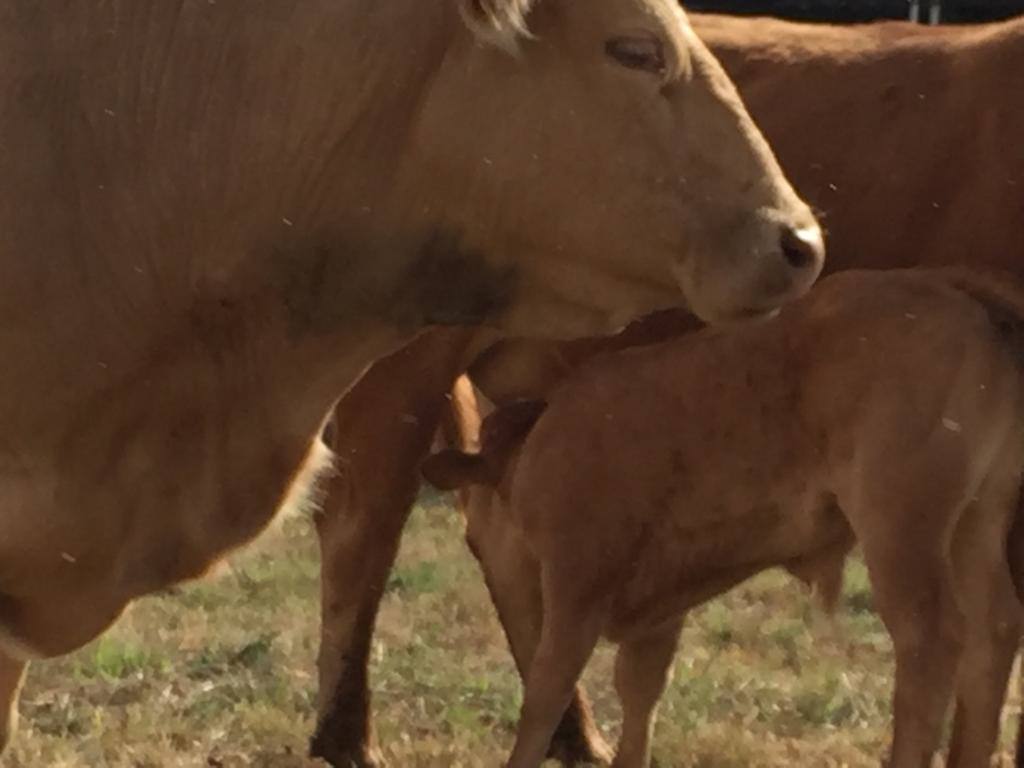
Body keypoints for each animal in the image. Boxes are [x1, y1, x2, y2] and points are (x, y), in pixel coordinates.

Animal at [421, 268, 1024, 768]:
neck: (534, 443)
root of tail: (965, 294)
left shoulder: (578, 588)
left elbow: (547, 692)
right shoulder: (657, 611)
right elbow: (639, 696)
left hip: (899, 528)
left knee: (932, 635)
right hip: (975, 523)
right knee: (995, 627)